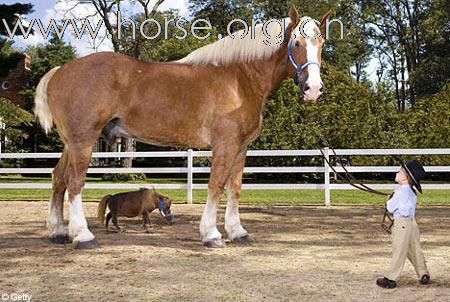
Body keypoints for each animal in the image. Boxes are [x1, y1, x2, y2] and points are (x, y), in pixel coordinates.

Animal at [34, 5, 326, 249]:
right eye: (296, 42)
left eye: (321, 43)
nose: (313, 89)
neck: (239, 78)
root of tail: (60, 71)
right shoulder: (225, 145)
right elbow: (216, 186)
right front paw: (211, 234)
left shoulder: (241, 147)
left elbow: (234, 189)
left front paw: (238, 232)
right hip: (83, 141)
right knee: (74, 182)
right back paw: (82, 236)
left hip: (70, 144)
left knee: (58, 179)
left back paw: (58, 232)